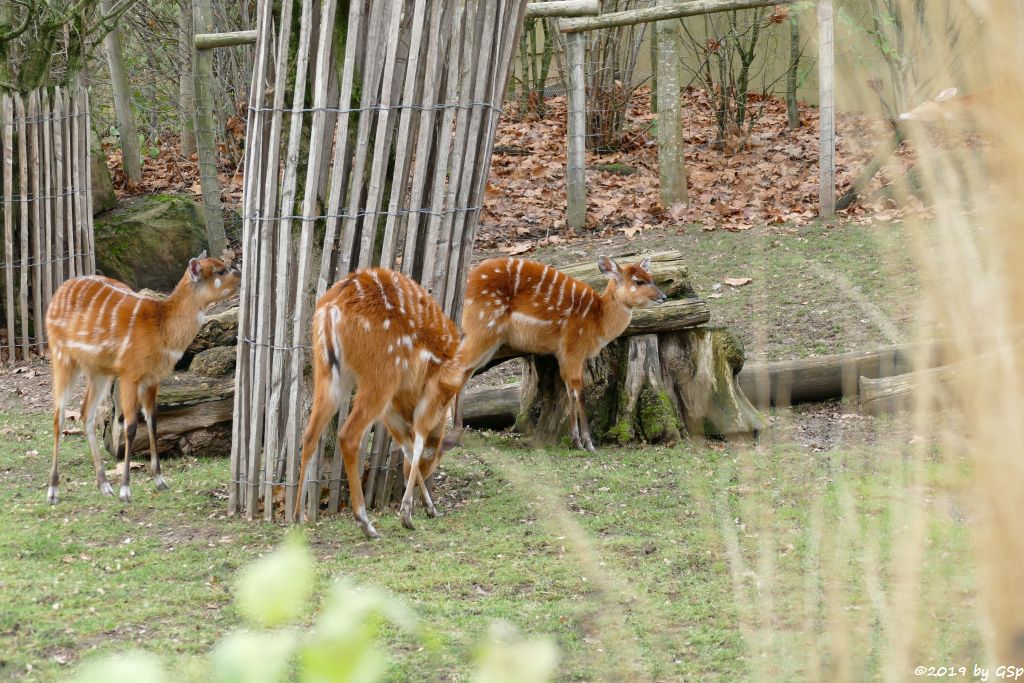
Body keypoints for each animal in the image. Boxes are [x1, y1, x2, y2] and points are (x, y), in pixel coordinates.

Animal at [44, 250, 239, 501]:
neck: (162, 329)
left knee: (86, 412)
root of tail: (57, 293)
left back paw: (104, 485)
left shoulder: (152, 378)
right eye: (220, 271)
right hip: (62, 357)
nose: (241, 274)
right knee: (58, 417)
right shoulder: (130, 374)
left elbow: (153, 421)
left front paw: (160, 481)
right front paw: (126, 490)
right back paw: (53, 491)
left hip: (99, 370)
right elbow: (130, 427)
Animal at [296, 266, 464, 540]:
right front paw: (408, 515)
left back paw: (299, 519)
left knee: (310, 435)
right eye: (435, 461)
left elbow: (407, 446)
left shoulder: (391, 408)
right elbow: (418, 441)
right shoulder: (432, 391)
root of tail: (331, 309)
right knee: (348, 435)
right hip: (381, 376)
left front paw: (427, 509)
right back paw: (366, 524)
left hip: (329, 373)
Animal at [454, 253, 663, 450]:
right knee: (460, 367)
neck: (598, 318)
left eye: (650, 277)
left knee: (465, 373)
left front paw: (576, 441)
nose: (663, 297)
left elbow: (570, 391)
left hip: (489, 342)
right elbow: (580, 392)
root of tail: (469, 280)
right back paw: (455, 436)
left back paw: (458, 432)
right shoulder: (573, 350)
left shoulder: (566, 355)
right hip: (482, 330)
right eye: (639, 281)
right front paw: (588, 444)